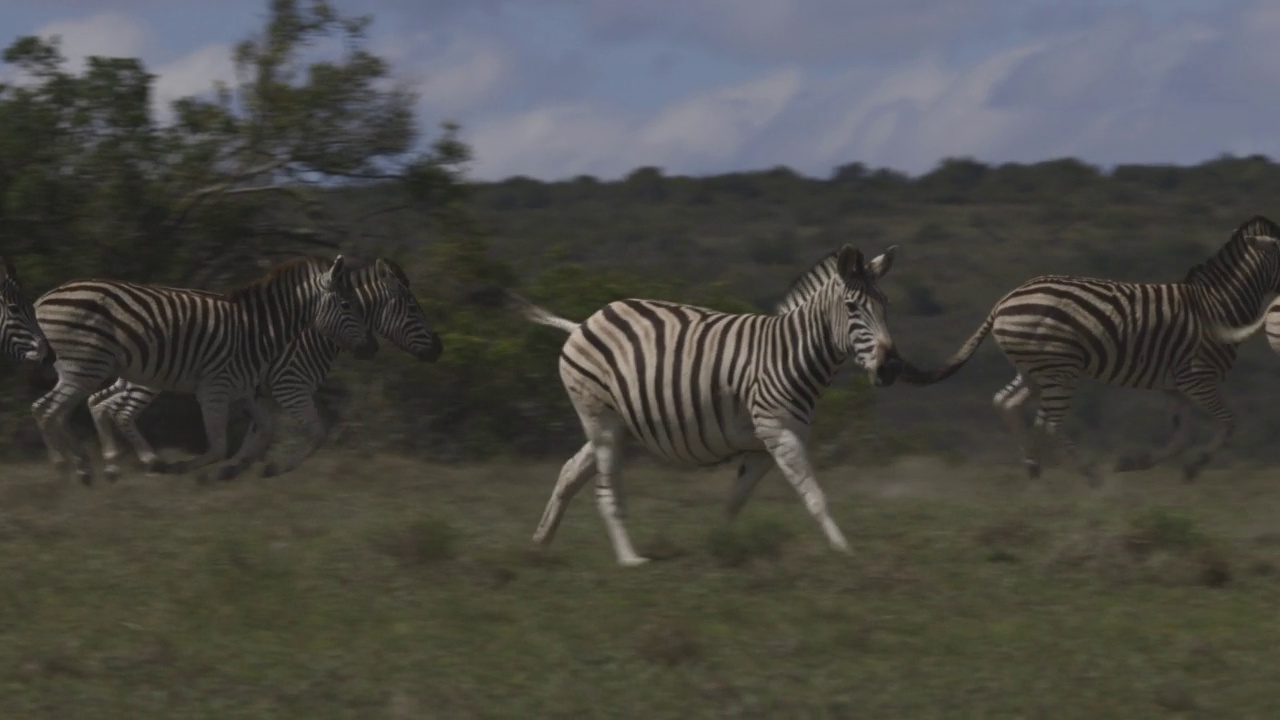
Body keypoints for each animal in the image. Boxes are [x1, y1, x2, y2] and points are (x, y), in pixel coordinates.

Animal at [31, 254, 373, 484]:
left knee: (63, 408)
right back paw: (69, 468)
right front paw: (184, 469)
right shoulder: (217, 388)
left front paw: (239, 468)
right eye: (347, 305)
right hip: (86, 366)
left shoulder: (244, 391)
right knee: (51, 409)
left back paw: (88, 466)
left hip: (85, 369)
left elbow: (264, 429)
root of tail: (42, 299)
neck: (259, 329)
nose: (370, 349)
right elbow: (220, 446)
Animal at [87, 254, 442, 479]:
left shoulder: (259, 392)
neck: (313, 331)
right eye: (413, 309)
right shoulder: (290, 387)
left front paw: (232, 468)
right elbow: (316, 435)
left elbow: (259, 434)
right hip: (149, 380)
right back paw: (144, 463)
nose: (438, 350)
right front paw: (261, 468)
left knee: (100, 402)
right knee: (120, 411)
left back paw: (116, 464)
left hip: (132, 377)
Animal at [506, 245, 901, 566]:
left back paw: (540, 544)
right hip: (601, 421)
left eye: (885, 306)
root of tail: (580, 324)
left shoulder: (761, 447)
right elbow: (816, 497)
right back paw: (629, 559)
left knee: (569, 472)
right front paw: (844, 551)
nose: (889, 368)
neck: (791, 354)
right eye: (852, 307)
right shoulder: (780, 432)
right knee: (605, 492)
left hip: (619, 426)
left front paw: (718, 544)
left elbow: (734, 501)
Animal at [896, 212, 1280, 481]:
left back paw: (1033, 465)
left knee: (1006, 403)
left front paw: (1137, 463)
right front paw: (1195, 467)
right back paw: (1088, 475)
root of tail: (1003, 301)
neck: (1218, 305)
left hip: (1034, 369)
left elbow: (1182, 436)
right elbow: (1227, 424)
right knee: (1049, 423)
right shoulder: (1196, 378)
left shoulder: (1176, 386)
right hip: (1060, 369)